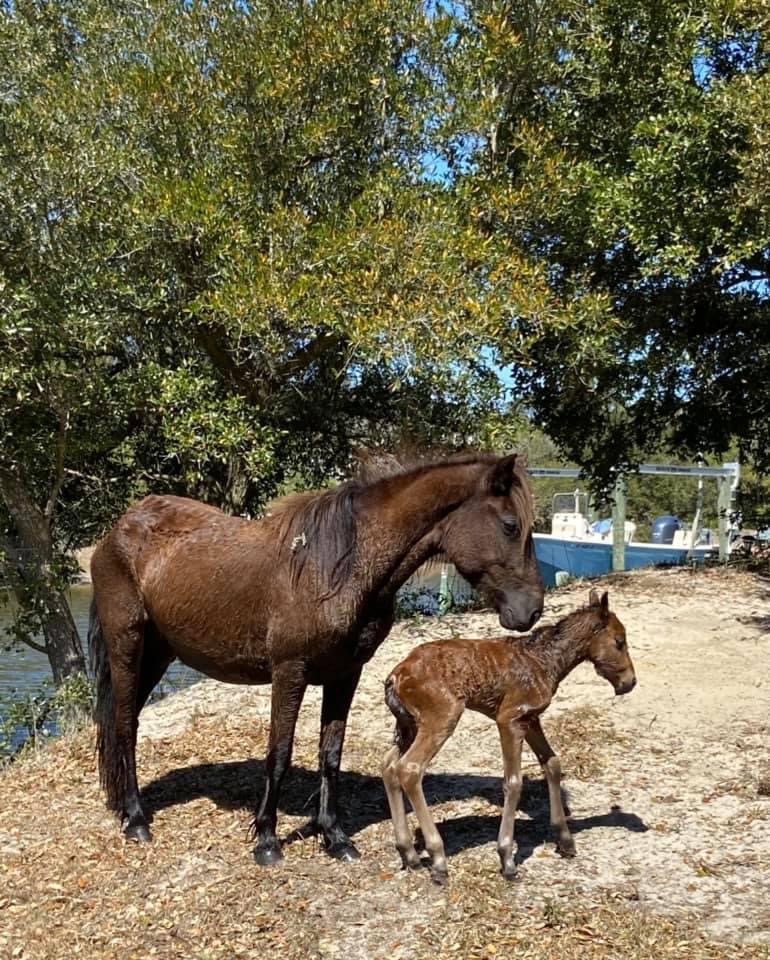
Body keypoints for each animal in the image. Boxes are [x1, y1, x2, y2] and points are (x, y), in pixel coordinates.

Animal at [380, 588, 636, 880]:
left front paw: (565, 839)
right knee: (409, 768)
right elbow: (513, 782)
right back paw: (438, 858)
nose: (630, 682)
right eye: (619, 641)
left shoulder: (531, 718)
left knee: (389, 765)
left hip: (408, 724)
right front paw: (507, 858)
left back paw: (409, 853)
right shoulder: (508, 719)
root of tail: (395, 676)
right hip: (441, 718)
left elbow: (552, 763)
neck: (544, 661)